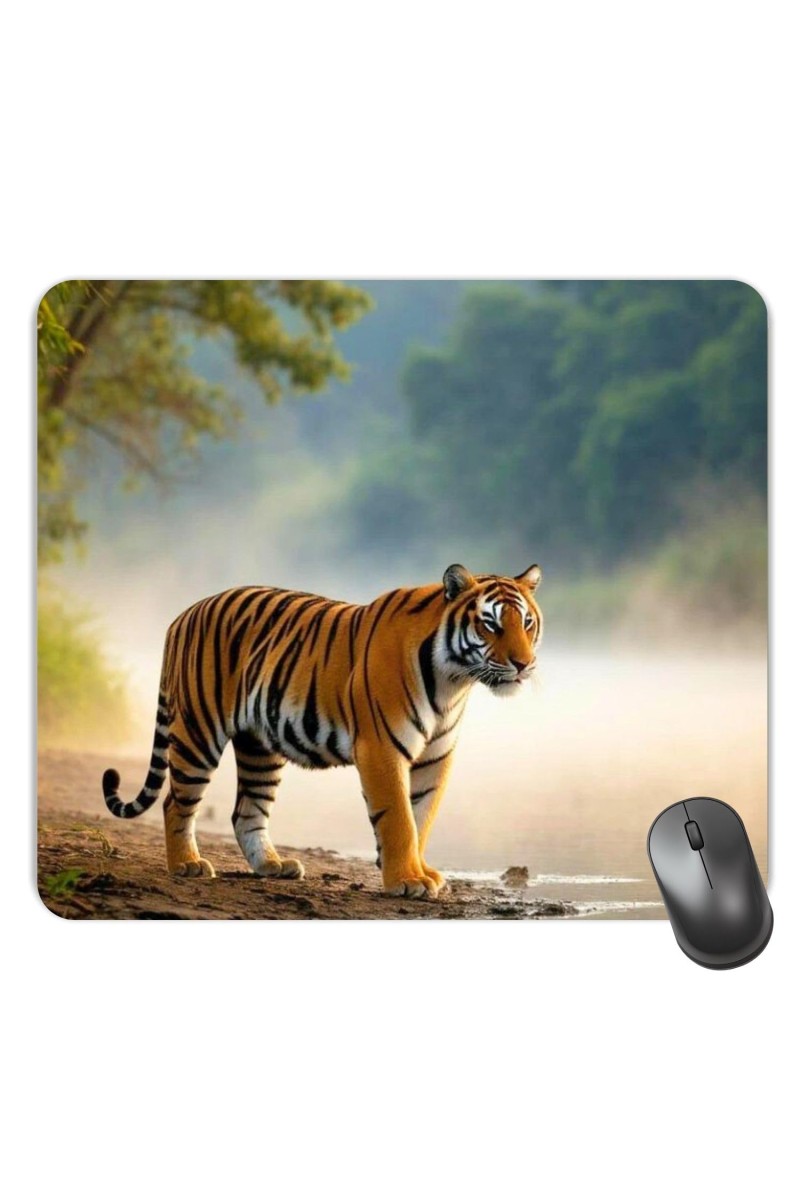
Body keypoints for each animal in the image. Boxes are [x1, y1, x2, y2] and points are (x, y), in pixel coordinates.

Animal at [102, 562, 543, 899]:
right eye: (490, 625)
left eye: (527, 623)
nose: (523, 664)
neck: (454, 680)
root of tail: (183, 615)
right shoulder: (381, 748)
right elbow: (399, 818)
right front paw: (406, 880)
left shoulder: (437, 756)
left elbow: (422, 816)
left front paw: (421, 873)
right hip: (199, 730)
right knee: (175, 802)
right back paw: (187, 865)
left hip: (259, 746)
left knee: (246, 811)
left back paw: (273, 865)